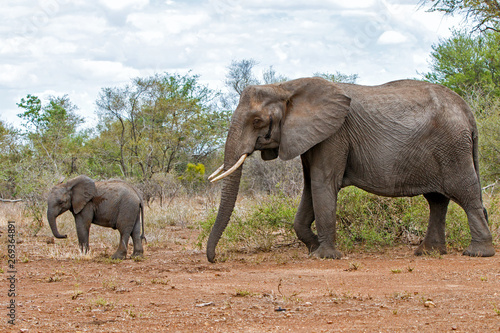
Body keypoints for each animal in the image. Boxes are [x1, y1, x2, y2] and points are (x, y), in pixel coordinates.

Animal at [205, 77, 494, 262]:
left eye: (257, 121)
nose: (215, 260)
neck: (286, 87)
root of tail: (468, 112)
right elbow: (310, 188)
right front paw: (313, 248)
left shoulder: (334, 134)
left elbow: (323, 184)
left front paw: (323, 257)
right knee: (437, 200)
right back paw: (428, 253)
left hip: (452, 148)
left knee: (465, 194)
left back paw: (477, 253)